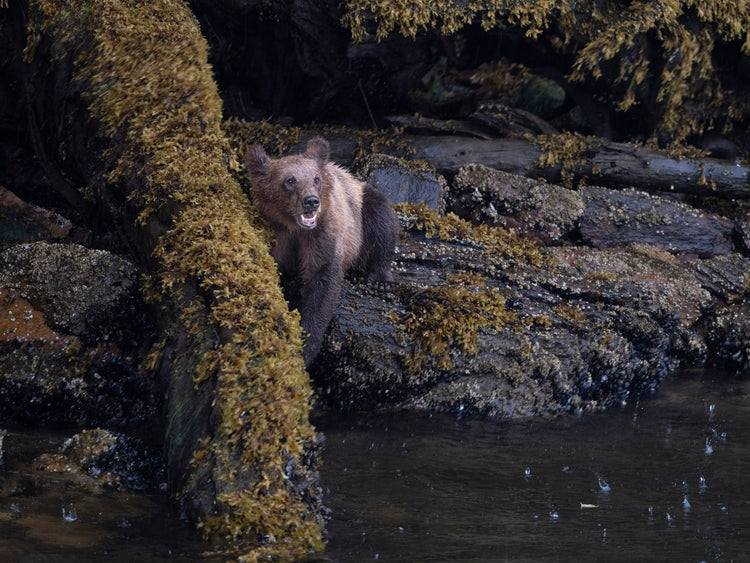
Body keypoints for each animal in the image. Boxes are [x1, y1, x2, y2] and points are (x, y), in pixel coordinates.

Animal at [244, 136, 398, 366]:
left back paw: (381, 280)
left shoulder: (323, 234)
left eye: (316, 179)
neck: (295, 228)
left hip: (360, 206)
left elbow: (322, 281)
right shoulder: (276, 233)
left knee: (382, 220)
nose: (311, 201)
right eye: (290, 180)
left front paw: (306, 347)